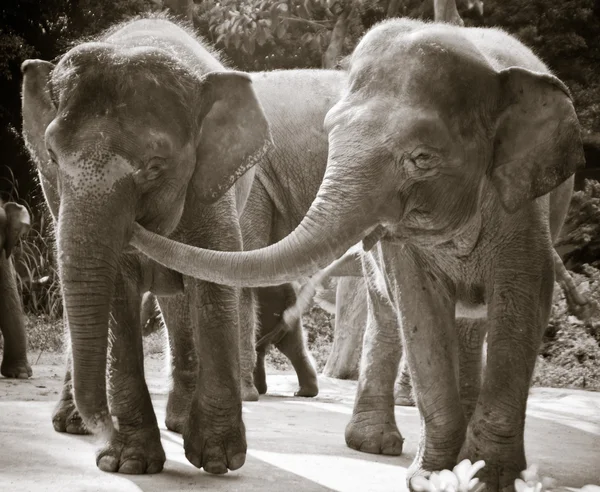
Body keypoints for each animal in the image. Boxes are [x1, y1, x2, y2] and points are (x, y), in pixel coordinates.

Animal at [19, 17, 270, 474]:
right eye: (51, 154)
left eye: (155, 167)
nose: (103, 428)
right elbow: (116, 298)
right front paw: (128, 463)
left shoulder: (210, 193)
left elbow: (213, 290)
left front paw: (218, 460)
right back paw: (73, 424)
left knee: (179, 302)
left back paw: (177, 422)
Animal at [129, 18, 584, 488]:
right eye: (329, 132)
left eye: (423, 157)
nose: (134, 209)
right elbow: (418, 305)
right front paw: (439, 476)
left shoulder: (524, 203)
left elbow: (523, 298)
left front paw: (484, 478)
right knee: (393, 312)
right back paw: (374, 443)